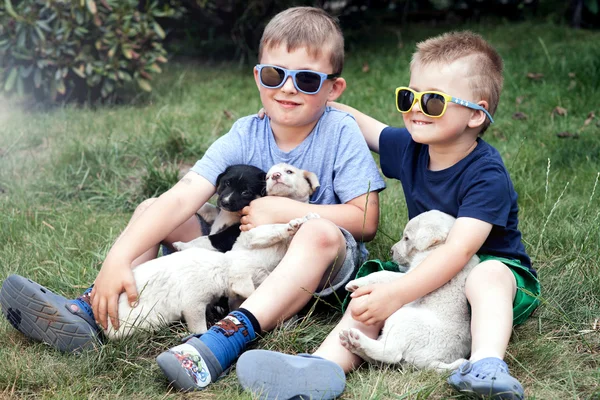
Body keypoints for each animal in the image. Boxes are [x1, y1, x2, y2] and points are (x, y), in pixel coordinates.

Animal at [106, 164, 324, 340]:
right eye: (225, 183)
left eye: (246, 192)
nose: (225, 201)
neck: (231, 215)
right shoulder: (219, 216)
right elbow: (209, 208)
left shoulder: (229, 236)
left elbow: (207, 239)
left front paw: (182, 245)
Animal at [340, 211, 476, 370]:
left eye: (406, 238)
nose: (391, 251)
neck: (438, 246)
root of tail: (433, 362)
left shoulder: (411, 274)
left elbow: (384, 274)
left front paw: (355, 283)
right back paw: (353, 344)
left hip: (403, 319)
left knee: (391, 353)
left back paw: (358, 340)